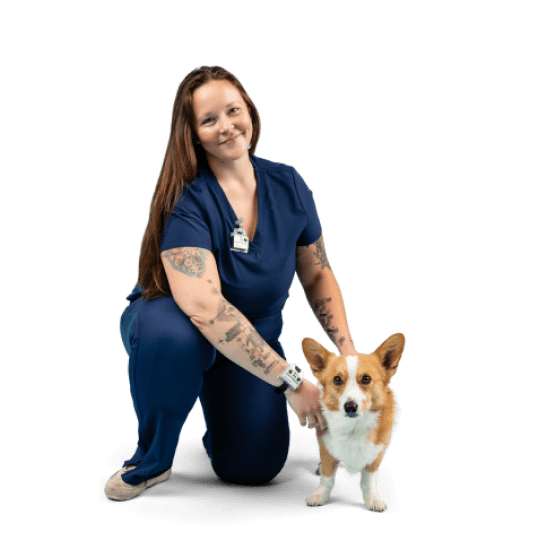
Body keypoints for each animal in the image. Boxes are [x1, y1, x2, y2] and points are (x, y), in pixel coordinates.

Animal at [300, 334, 404, 516]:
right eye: (337, 380)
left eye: (366, 379)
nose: (350, 407)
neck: (353, 426)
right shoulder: (327, 448)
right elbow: (327, 477)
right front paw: (320, 496)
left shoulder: (377, 452)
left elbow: (369, 480)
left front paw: (373, 500)